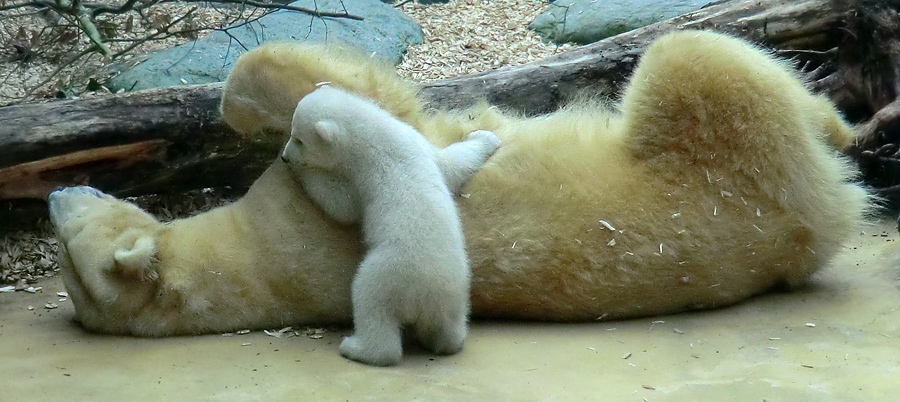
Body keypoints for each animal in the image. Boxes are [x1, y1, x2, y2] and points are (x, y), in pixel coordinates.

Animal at [51, 30, 872, 336]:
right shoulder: (306, 201)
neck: (250, 265)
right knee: (698, 59)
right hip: (743, 165)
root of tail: (805, 234)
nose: (61, 191)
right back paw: (837, 117)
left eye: (74, 218)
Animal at [284, 86, 500, 366]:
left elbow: (342, 205)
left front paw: (302, 172)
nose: (285, 157)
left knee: (369, 303)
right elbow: (451, 163)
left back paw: (355, 347)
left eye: (298, 139)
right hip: (456, 292)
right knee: (449, 328)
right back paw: (447, 342)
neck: (378, 133)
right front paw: (485, 136)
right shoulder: (418, 143)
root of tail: (423, 298)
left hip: (387, 275)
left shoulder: (364, 174)